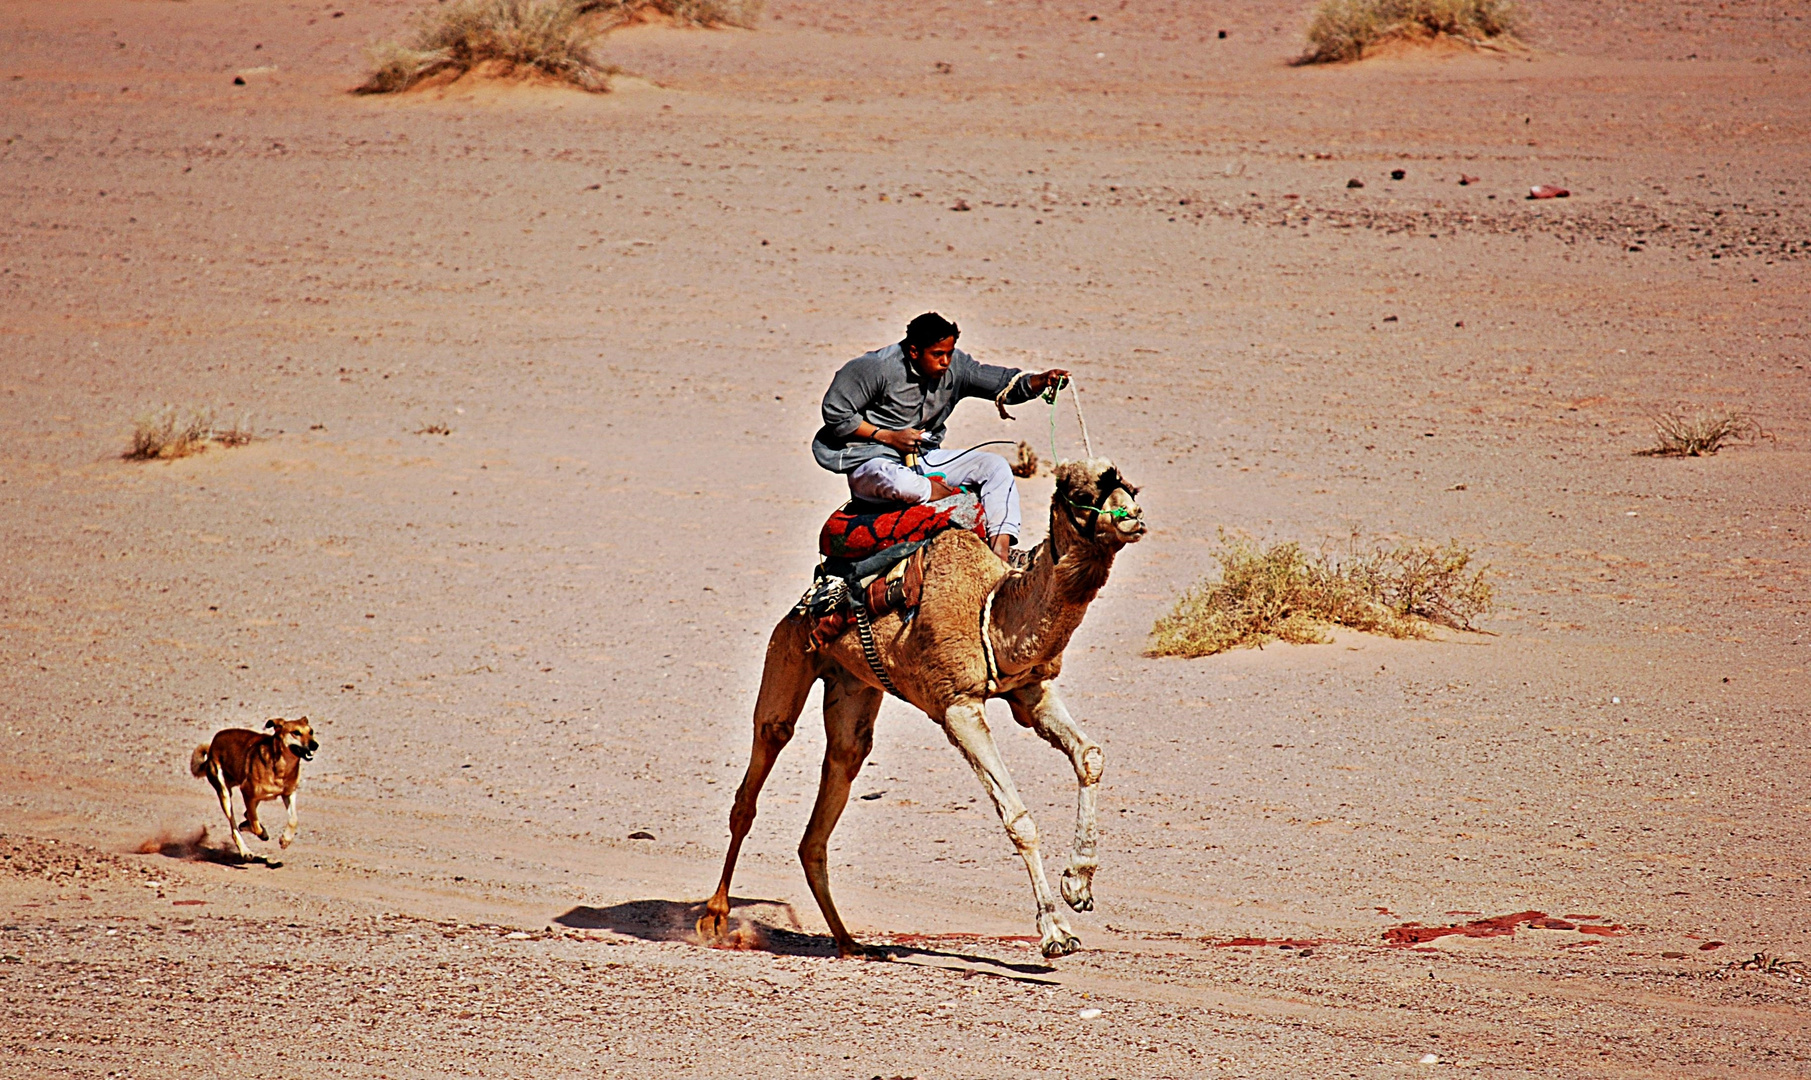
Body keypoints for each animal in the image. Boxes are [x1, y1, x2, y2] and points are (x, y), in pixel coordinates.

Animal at [192, 717, 320, 858]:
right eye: (296, 732)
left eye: (311, 731)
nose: (315, 745)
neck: (281, 767)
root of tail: (212, 745)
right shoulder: (246, 792)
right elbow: (255, 825)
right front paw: (261, 833)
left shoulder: (288, 794)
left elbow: (293, 819)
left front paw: (285, 840)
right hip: (225, 795)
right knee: (235, 827)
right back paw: (245, 850)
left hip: (253, 798)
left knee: (247, 814)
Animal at [702, 454, 1144, 956]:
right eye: (1084, 495)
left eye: (1129, 485)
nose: (1133, 518)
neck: (993, 611)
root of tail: (808, 597)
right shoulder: (957, 706)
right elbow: (1018, 817)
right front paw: (1055, 931)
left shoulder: (1030, 690)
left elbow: (1089, 755)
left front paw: (1079, 885)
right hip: (788, 649)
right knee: (758, 771)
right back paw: (715, 917)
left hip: (854, 685)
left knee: (837, 777)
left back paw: (850, 943)